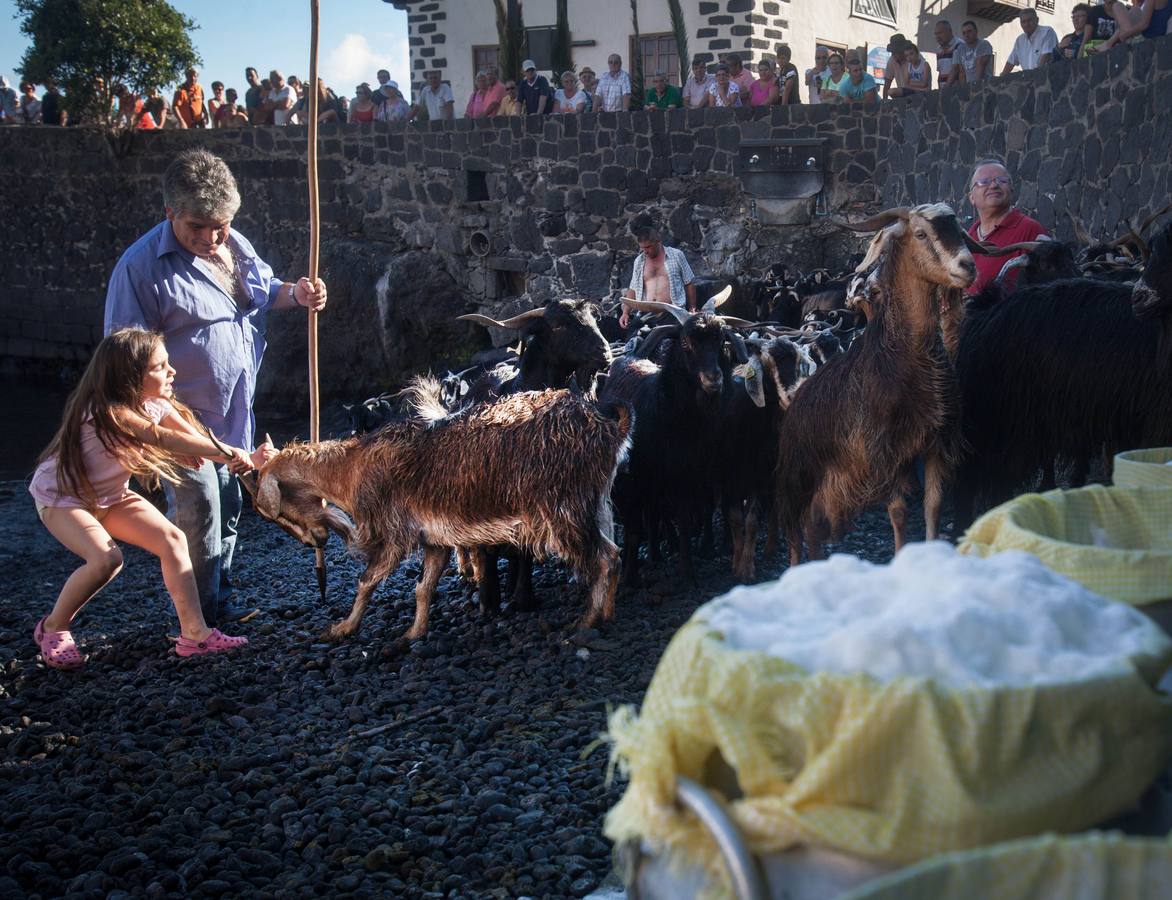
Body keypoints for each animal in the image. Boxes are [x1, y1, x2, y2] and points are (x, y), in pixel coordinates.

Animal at [239, 384, 637, 637]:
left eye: (275, 511)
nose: (315, 542)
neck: (352, 469)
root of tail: (608, 426)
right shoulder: (434, 539)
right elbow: (423, 588)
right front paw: (414, 634)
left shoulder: (395, 531)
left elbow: (367, 580)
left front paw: (341, 629)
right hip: (595, 502)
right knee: (615, 554)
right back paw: (608, 612)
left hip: (563, 507)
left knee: (603, 558)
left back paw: (587, 622)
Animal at [778, 203, 979, 562]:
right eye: (921, 233)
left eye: (958, 230)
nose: (967, 267)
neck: (902, 358)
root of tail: (795, 400)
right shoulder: (884, 451)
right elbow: (898, 512)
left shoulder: (936, 442)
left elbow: (933, 506)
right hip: (798, 476)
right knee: (795, 531)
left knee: (813, 525)